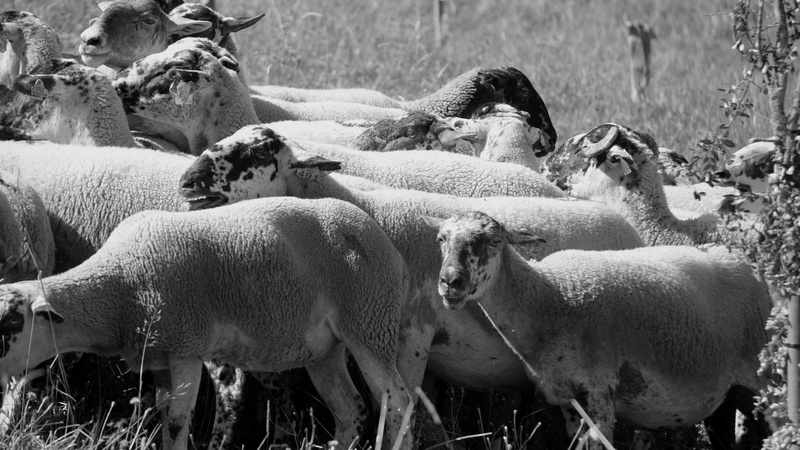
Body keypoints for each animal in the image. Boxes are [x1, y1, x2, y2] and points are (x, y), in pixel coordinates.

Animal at [0, 196, 415, 450]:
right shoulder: (159, 354)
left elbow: (176, 421)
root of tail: (378, 234)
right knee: (350, 409)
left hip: (370, 321)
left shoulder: (186, 346)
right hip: (325, 348)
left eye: (11, 325)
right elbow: (164, 413)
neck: (120, 285)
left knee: (398, 404)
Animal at [429, 210, 772, 450]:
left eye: (494, 241)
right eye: (441, 239)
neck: (550, 299)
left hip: (763, 377)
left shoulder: (599, 396)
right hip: (728, 392)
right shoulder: (568, 402)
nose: (450, 282)